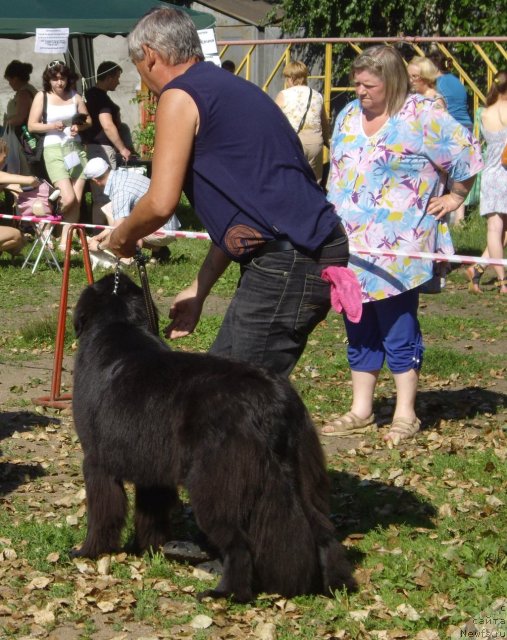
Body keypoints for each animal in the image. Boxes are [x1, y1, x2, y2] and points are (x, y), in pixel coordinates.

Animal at [71, 274, 358, 600]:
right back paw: (338, 584)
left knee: (238, 544)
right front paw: (148, 548)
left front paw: (88, 551)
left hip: (214, 485)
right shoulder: (153, 469)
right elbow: (151, 512)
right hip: (304, 473)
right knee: (323, 531)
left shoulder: (96, 461)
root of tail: (269, 402)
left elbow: (102, 513)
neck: (118, 323)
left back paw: (226, 592)